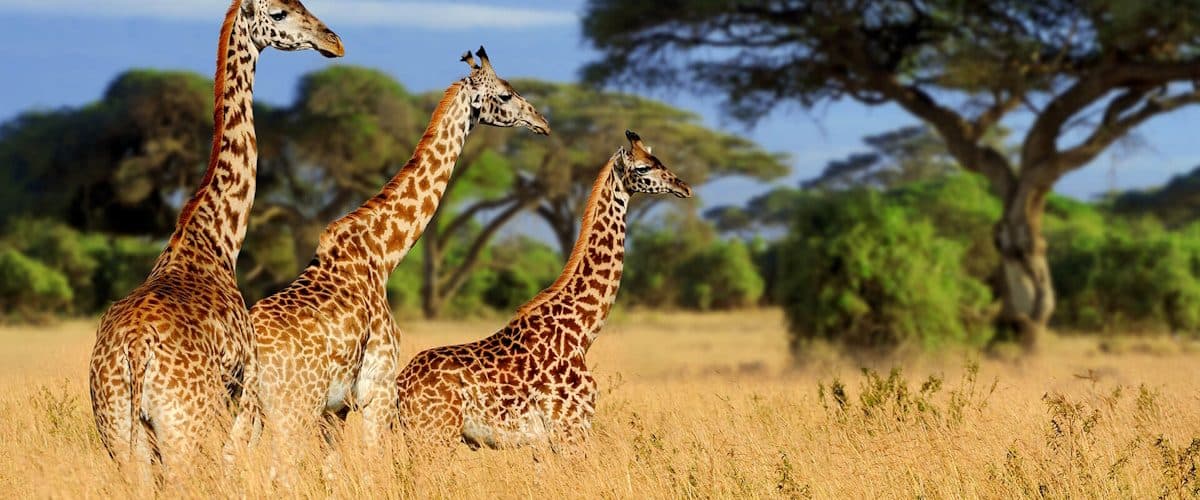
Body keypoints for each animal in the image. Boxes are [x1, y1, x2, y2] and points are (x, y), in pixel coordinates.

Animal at [88, 0, 343, 472]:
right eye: (279, 13)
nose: (333, 42)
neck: (217, 238)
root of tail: (135, 349)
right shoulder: (245, 390)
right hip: (184, 429)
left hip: (119, 433)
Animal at [235, 48, 550, 466]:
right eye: (504, 94)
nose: (542, 122)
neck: (382, 255)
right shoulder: (377, 390)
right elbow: (372, 463)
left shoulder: (337, 408)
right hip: (293, 408)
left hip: (248, 410)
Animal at [395, 130, 692, 450]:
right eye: (643, 168)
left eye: (658, 160)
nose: (684, 187)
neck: (581, 332)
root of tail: (399, 386)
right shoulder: (571, 429)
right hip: (434, 434)